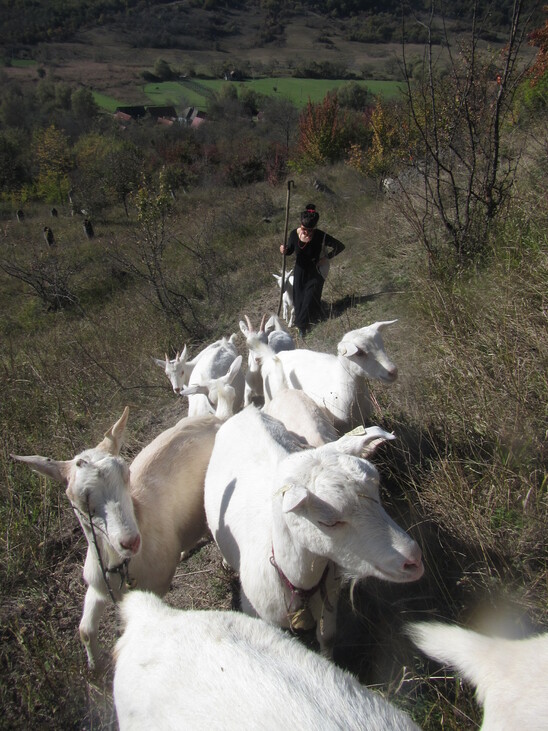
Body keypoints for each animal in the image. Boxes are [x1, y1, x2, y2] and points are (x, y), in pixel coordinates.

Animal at [11, 408, 220, 672]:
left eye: (126, 473)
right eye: (77, 498)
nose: (130, 541)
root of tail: (216, 418)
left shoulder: (156, 587)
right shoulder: (97, 585)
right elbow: (85, 630)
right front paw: (95, 666)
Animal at [206, 406, 424, 656]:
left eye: (376, 492)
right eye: (328, 522)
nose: (414, 560)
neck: (298, 582)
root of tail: (246, 411)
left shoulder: (328, 597)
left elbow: (327, 636)